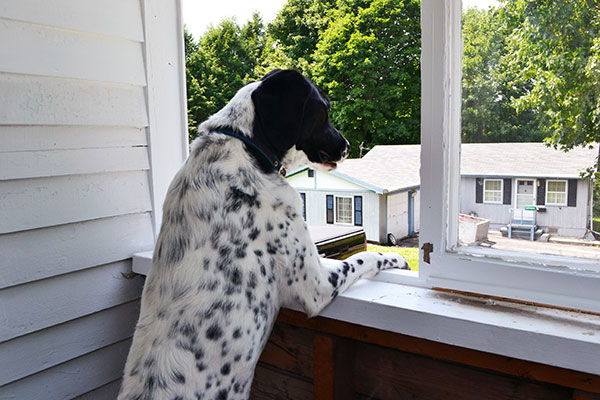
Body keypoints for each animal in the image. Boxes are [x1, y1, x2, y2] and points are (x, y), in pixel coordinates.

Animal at [118, 69, 408, 400]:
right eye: (323, 109)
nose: (347, 145)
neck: (247, 147)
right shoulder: (318, 285)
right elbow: (366, 257)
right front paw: (397, 259)